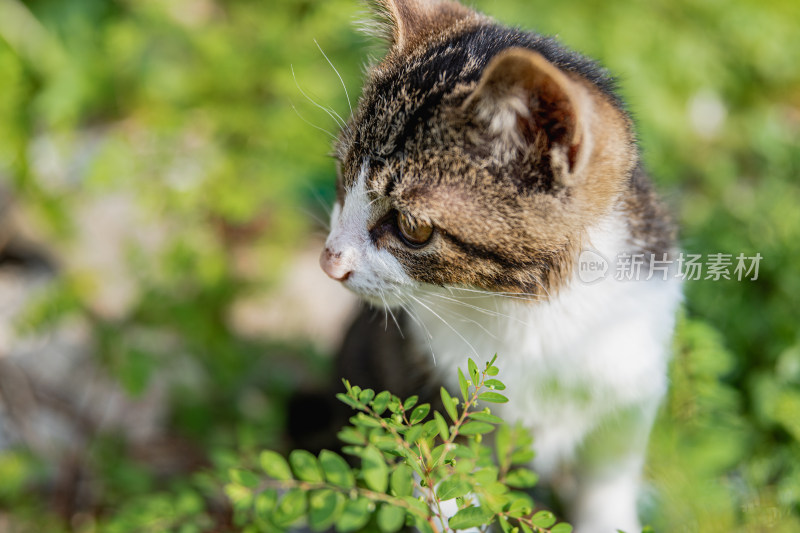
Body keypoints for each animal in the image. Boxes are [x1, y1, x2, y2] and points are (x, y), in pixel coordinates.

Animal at [318, 2, 680, 528]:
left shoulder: (634, 364)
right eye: (343, 176)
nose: (329, 262)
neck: (529, 309)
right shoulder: (431, 383)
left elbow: (611, 466)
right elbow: (444, 487)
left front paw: (609, 516)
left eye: (412, 226)